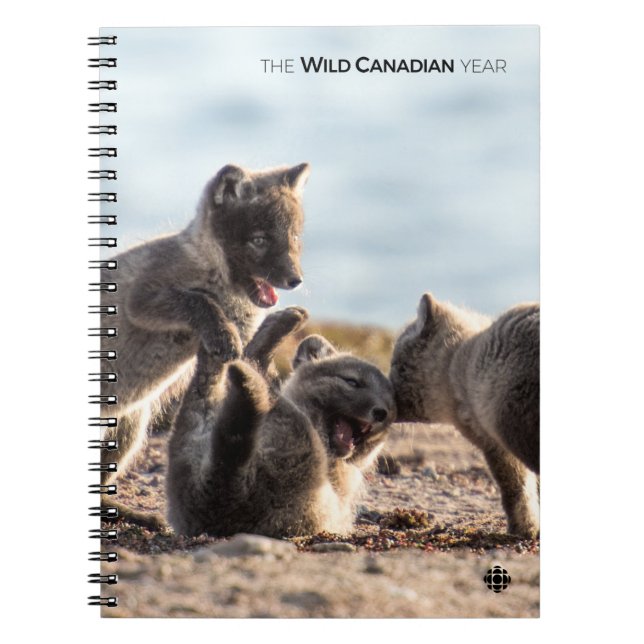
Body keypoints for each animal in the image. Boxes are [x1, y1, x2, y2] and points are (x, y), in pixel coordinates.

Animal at [99, 162, 310, 527]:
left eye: (294, 237)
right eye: (259, 240)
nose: (294, 280)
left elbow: (251, 350)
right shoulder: (142, 299)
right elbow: (198, 300)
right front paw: (220, 331)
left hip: (127, 429)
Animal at [389, 293, 540, 538]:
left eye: (396, 365)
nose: (385, 398)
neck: (459, 359)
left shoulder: (492, 443)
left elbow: (516, 490)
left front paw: (524, 528)